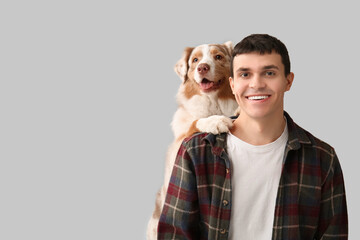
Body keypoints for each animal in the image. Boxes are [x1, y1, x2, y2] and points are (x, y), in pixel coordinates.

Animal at [146, 41, 239, 240]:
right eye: (195, 60)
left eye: (218, 56)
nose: (202, 67)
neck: (214, 103)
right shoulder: (181, 141)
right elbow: (196, 122)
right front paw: (215, 121)